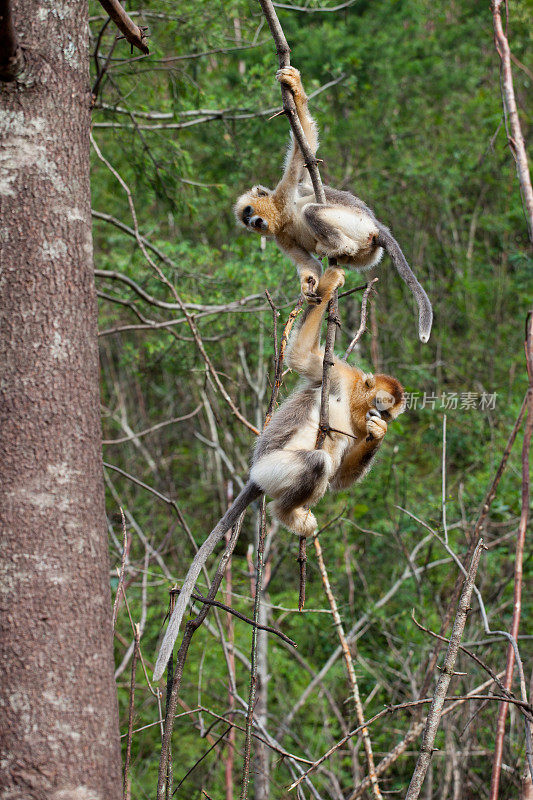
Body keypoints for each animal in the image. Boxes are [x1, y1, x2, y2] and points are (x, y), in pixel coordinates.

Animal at [153, 268, 404, 680]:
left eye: (388, 413)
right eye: (380, 404)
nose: (380, 417)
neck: (354, 400)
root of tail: (255, 476)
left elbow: (340, 480)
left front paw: (378, 435)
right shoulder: (340, 376)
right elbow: (302, 357)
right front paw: (330, 282)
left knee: (325, 468)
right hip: (271, 470)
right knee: (316, 462)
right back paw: (288, 515)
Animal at [235, 66, 434, 344]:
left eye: (249, 212)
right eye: (247, 220)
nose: (254, 222)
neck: (281, 217)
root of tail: (377, 227)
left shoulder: (284, 192)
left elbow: (304, 147)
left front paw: (295, 88)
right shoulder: (280, 237)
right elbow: (310, 265)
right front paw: (307, 287)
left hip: (358, 224)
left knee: (312, 211)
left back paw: (338, 245)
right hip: (366, 251)